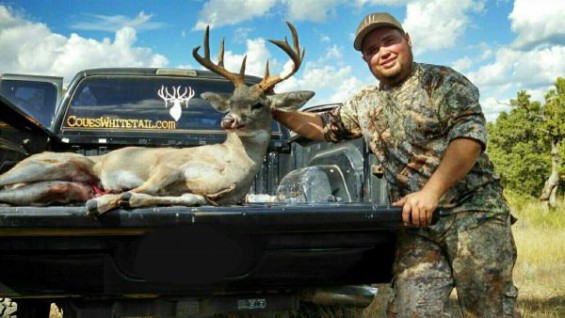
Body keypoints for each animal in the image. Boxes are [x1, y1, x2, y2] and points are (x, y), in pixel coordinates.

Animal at [0, 21, 312, 216]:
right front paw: (109, 200)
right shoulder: (171, 163)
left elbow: (188, 198)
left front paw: (125, 198)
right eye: (230, 104)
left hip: (49, 188)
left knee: (9, 193)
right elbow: (148, 185)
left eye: (258, 104)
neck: (231, 165)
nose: (229, 121)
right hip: (53, 163)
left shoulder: (218, 197)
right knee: (5, 179)